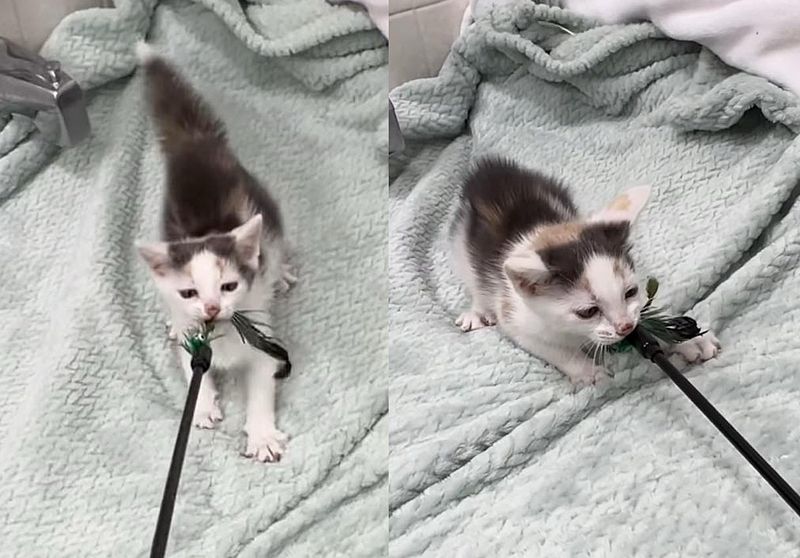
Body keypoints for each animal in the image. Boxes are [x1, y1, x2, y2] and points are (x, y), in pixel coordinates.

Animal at [136, 43, 296, 464]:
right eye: (189, 292)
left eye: (229, 287)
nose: (210, 309)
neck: (220, 337)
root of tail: (195, 142)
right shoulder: (193, 345)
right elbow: (191, 365)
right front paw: (204, 404)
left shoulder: (263, 343)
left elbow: (261, 385)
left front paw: (262, 436)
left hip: (266, 211)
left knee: (274, 245)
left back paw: (281, 272)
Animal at [454, 155, 720, 388]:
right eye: (588, 312)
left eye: (630, 292)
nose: (625, 327)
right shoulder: (516, 320)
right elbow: (555, 350)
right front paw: (589, 372)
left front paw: (686, 339)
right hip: (460, 252)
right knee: (476, 285)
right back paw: (476, 312)